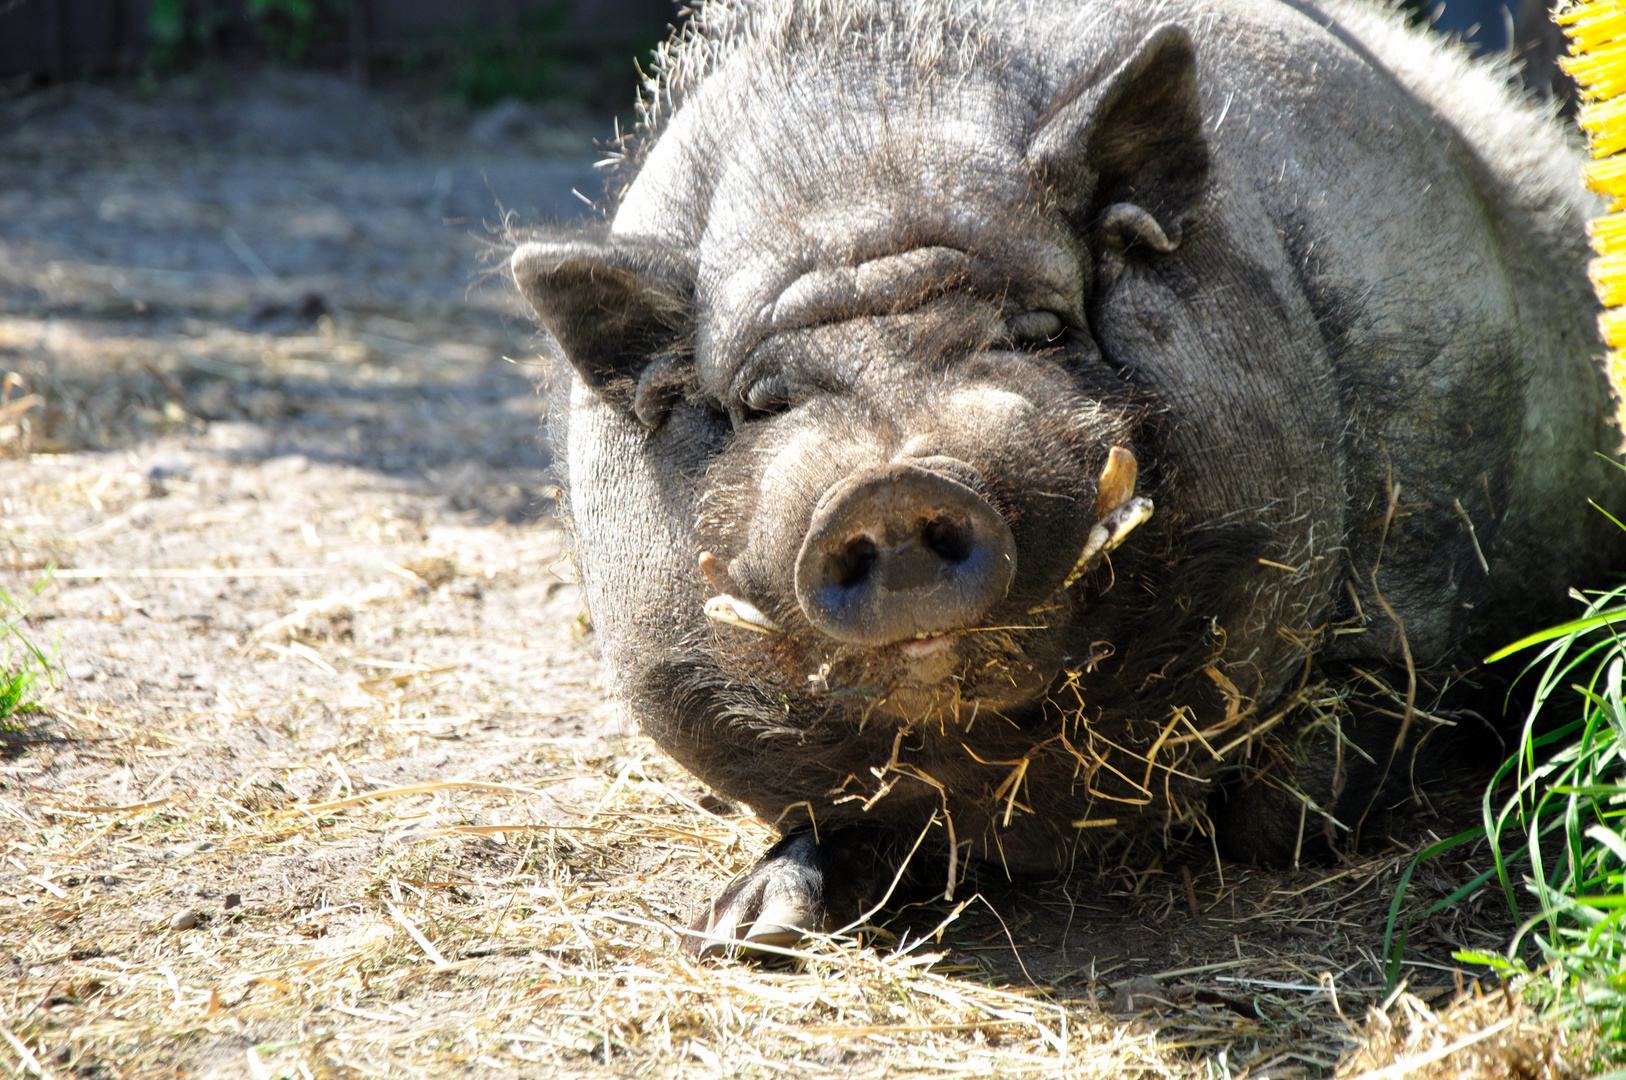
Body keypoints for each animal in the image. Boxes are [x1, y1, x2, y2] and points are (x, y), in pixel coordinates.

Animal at [507, 0, 1626, 949]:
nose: (893, 487)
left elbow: (1316, 770)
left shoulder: (1419, 586)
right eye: (763, 403)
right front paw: (742, 933)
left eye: (1037, 329)